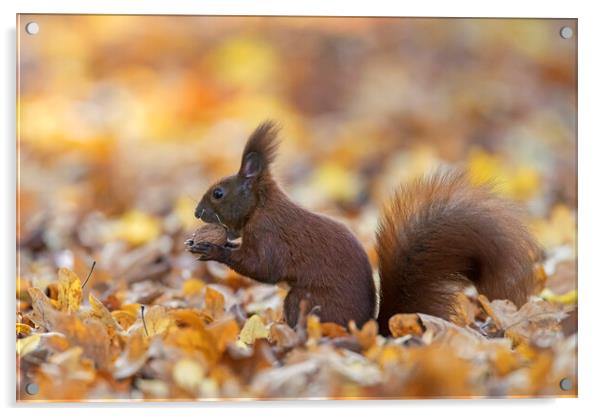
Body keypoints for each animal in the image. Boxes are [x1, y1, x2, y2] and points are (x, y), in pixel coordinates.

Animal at [186, 120, 536, 334]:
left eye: (219, 193)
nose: (196, 212)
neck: (261, 207)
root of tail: (372, 329)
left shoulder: (271, 236)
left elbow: (262, 268)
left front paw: (213, 248)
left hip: (304, 300)